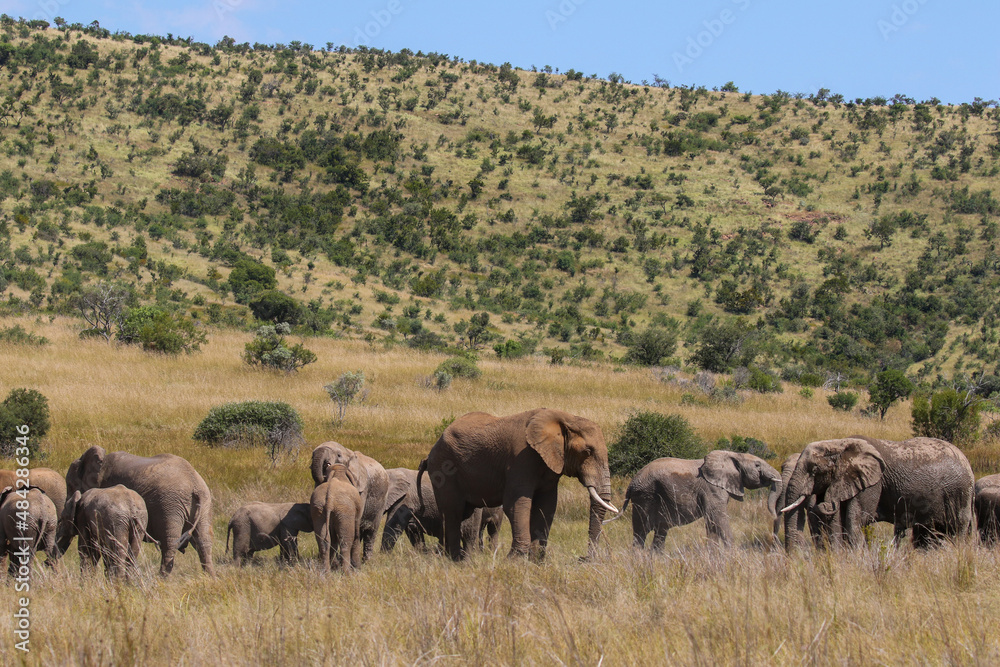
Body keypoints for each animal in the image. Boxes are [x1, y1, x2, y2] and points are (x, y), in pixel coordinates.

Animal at [67, 446, 217, 576]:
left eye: (70, 485)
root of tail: (194, 484)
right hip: (204, 504)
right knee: (204, 542)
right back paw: (210, 578)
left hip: (170, 505)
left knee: (170, 544)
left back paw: (161, 580)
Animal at [414, 410, 616, 560]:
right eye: (587, 451)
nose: (584, 559)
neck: (565, 417)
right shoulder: (521, 459)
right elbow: (515, 504)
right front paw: (515, 560)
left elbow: (547, 507)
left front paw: (535, 561)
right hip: (443, 467)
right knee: (453, 511)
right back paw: (455, 559)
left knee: (465, 513)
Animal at [624, 448, 780, 548]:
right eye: (757, 465)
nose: (774, 515)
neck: (732, 454)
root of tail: (631, 483)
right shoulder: (712, 489)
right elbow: (718, 517)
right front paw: (732, 555)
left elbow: (711, 522)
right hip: (645, 497)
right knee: (641, 533)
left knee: (660, 532)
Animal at [780, 436, 976, 552]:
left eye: (814, 470)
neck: (839, 443)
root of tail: (967, 461)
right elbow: (843, 519)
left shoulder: (873, 484)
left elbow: (856, 520)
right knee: (928, 534)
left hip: (960, 492)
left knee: (958, 527)